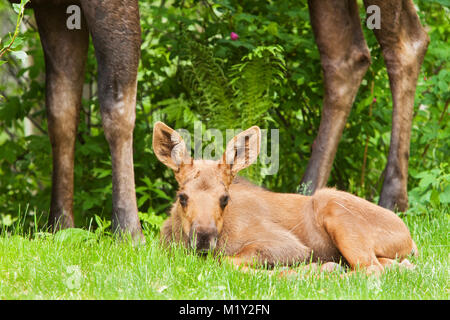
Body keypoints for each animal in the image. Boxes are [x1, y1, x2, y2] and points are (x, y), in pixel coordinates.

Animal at [153, 121, 416, 274]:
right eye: (183, 196)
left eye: (224, 198)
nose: (204, 237)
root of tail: (410, 239)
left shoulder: (289, 245)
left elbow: (226, 261)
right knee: (396, 265)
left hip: (333, 207)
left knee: (371, 269)